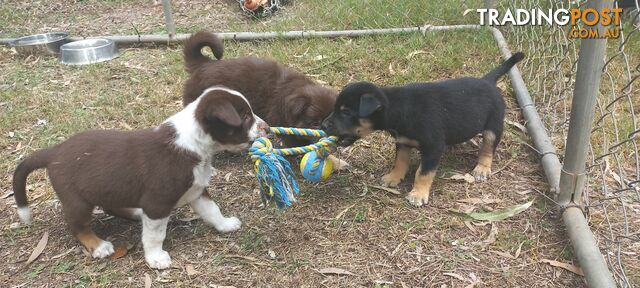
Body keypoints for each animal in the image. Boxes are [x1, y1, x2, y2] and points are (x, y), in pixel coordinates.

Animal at [13, 86, 268, 268]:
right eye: (245, 116)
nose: (266, 127)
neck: (195, 144)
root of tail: (54, 152)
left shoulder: (197, 190)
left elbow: (212, 210)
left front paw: (225, 225)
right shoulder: (157, 203)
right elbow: (155, 235)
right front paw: (156, 258)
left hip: (108, 187)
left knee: (110, 206)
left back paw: (134, 213)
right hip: (77, 200)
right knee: (77, 225)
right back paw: (98, 245)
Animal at [322, 53, 524, 207]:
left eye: (346, 112)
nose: (323, 125)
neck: (399, 108)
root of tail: (487, 81)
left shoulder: (433, 147)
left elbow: (423, 173)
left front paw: (418, 194)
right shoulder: (403, 142)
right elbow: (400, 162)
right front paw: (394, 177)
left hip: (493, 126)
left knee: (488, 147)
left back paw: (482, 168)